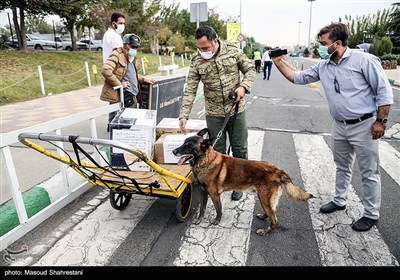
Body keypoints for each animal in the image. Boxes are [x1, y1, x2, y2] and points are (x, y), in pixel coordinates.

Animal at [173, 128, 314, 235]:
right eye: (183, 142)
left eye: (188, 146)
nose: (173, 151)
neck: (205, 161)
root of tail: (279, 171)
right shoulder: (204, 192)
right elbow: (202, 208)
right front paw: (199, 220)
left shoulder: (214, 194)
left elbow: (219, 209)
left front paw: (217, 221)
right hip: (264, 198)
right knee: (271, 212)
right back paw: (263, 217)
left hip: (264, 198)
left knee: (275, 219)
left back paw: (265, 231)